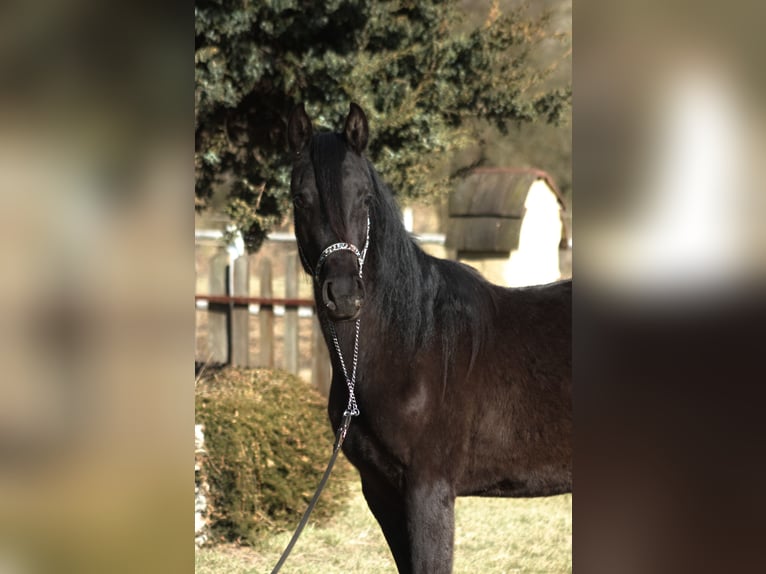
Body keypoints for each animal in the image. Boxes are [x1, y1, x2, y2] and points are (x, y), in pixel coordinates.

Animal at [287, 102, 571, 574]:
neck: (408, 347)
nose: (343, 294)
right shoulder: (381, 492)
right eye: (299, 198)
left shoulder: (428, 489)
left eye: (365, 198)